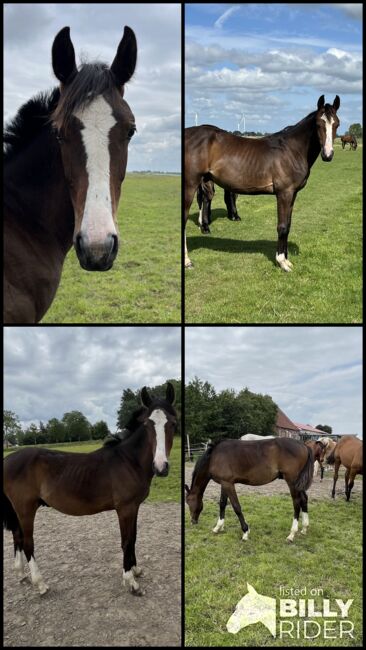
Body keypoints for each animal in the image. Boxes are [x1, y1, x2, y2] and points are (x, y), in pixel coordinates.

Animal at [3, 382, 177, 596]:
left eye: (173, 423)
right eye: (147, 425)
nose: (161, 467)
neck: (128, 461)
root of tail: (8, 459)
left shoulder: (135, 507)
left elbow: (134, 538)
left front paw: (136, 570)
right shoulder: (125, 509)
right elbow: (126, 541)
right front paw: (131, 582)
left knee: (17, 537)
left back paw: (22, 574)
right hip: (26, 509)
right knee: (27, 542)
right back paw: (40, 584)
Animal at [184, 95, 342, 270]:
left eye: (337, 123)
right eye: (318, 124)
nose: (327, 155)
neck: (292, 150)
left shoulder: (292, 194)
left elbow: (288, 225)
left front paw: (286, 259)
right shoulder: (284, 193)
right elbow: (282, 226)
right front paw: (282, 262)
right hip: (190, 185)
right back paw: (187, 261)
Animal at [184, 436, 314, 540]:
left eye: (189, 502)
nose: (193, 521)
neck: (214, 457)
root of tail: (304, 446)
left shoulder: (228, 484)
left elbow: (236, 507)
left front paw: (245, 532)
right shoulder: (224, 483)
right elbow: (222, 503)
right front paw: (218, 527)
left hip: (292, 481)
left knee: (296, 502)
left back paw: (292, 534)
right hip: (298, 483)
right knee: (304, 499)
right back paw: (304, 528)